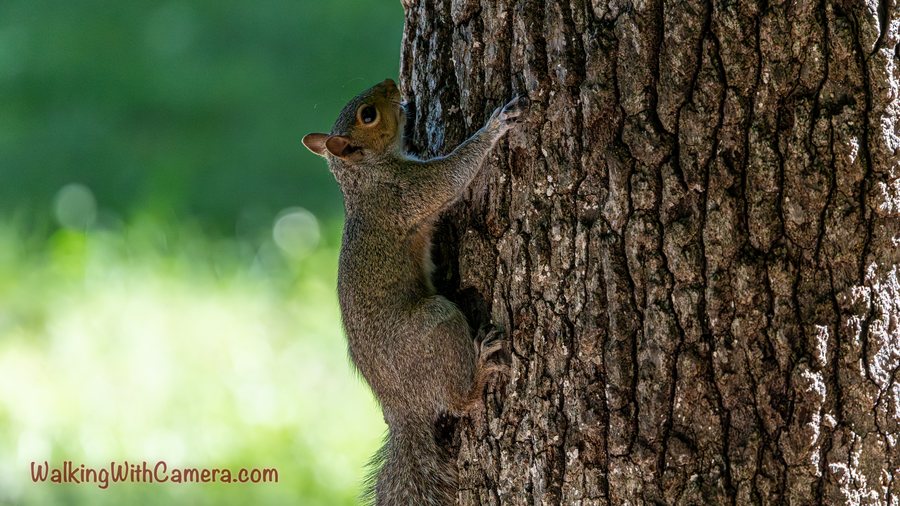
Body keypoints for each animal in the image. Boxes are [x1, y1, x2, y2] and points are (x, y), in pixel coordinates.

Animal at [302, 78, 525, 505]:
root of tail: (402, 409)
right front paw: (495, 126)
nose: (392, 84)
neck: (364, 176)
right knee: (458, 402)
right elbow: (452, 176)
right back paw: (480, 369)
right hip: (437, 322)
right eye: (368, 115)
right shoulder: (408, 192)